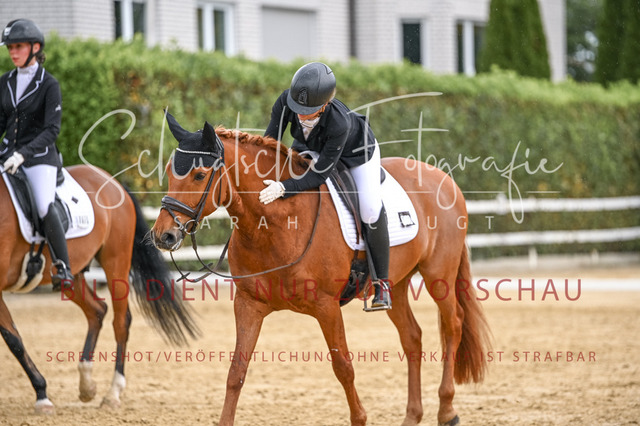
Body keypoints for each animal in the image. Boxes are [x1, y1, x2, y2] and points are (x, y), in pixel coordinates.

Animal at [0, 164, 200, 414]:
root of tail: (110, 179)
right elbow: (12, 336)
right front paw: (41, 393)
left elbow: (13, 339)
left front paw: (42, 396)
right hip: (74, 274)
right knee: (97, 310)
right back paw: (86, 384)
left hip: (116, 262)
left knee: (121, 321)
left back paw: (112, 393)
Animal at [150, 115, 491, 426]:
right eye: (168, 172)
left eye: (199, 175)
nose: (163, 236)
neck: (275, 225)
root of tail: (444, 179)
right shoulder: (248, 304)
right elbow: (237, 372)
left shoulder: (326, 307)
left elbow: (343, 367)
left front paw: (360, 418)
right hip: (395, 283)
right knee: (412, 337)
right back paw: (412, 416)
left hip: (438, 275)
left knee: (453, 326)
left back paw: (447, 410)